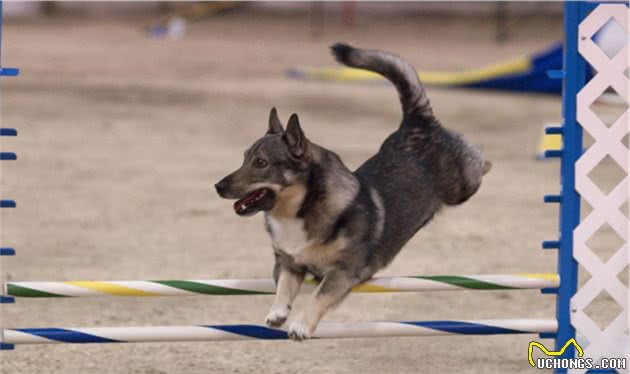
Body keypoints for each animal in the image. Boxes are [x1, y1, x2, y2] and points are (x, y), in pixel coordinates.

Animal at [217, 42, 494, 340]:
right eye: (244, 158)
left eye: (261, 163)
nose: (218, 186)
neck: (300, 210)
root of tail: (417, 122)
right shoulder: (290, 263)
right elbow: (284, 287)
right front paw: (278, 313)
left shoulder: (344, 271)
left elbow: (319, 295)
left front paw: (301, 325)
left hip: (462, 187)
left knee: (477, 156)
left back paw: (486, 160)